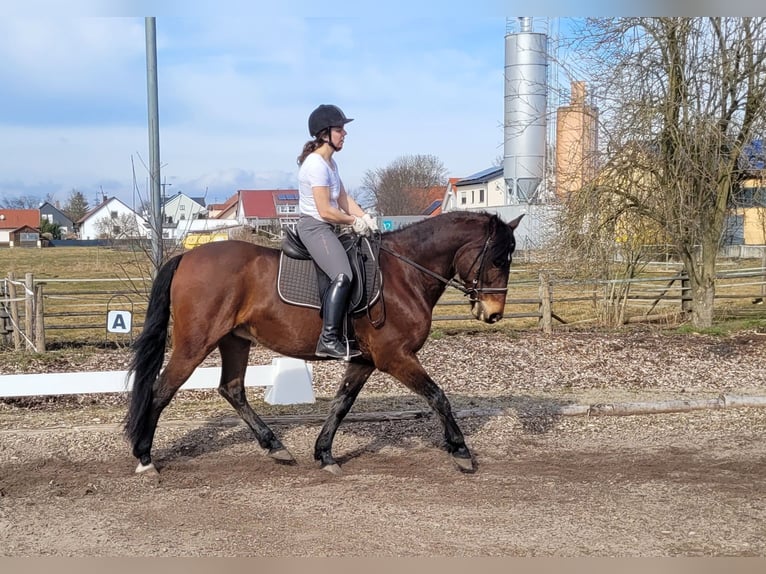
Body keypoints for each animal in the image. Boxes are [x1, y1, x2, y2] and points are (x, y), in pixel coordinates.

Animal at [126, 212, 524, 476]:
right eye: (497, 258)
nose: (493, 314)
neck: (405, 273)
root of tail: (186, 257)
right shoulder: (395, 356)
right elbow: (438, 396)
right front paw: (461, 451)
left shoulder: (365, 360)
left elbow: (342, 403)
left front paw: (325, 454)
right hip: (196, 343)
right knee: (161, 390)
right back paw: (145, 458)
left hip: (234, 340)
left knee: (232, 389)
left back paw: (276, 447)